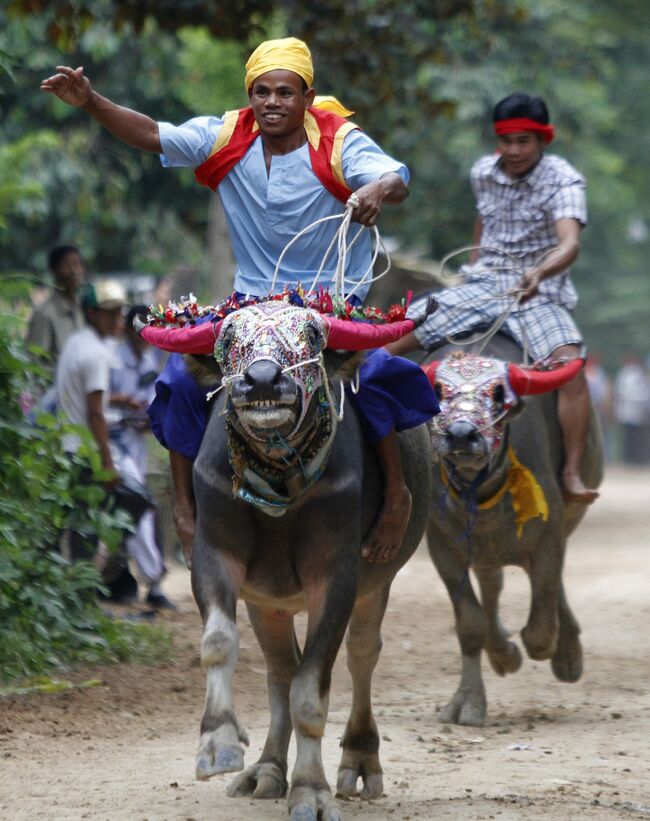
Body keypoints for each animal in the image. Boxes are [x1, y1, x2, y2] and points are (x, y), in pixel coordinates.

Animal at [141, 302, 430, 820]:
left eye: (311, 337)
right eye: (229, 340)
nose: (261, 380)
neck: (277, 481)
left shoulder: (337, 579)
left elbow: (311, 692)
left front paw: (311, 791)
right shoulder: (213, 555)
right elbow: (219, 642)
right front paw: (217, 744)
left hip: (377, 582)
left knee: (361, 655)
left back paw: (359, 761)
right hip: (268, 602)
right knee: (279, 671)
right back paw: (267, 770)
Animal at [422, 336, 600, 728]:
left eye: (498, 392)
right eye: (439, 390)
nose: (461, 435)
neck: (481, 493)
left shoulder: (548, 533)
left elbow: (540, 628)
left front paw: (557, 649)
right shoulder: (442, 547)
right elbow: (471, 624)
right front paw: (468, 702)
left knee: (548, 588)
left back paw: (567, 653)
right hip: (483, 554)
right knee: (492, 587)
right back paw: (502, 648)